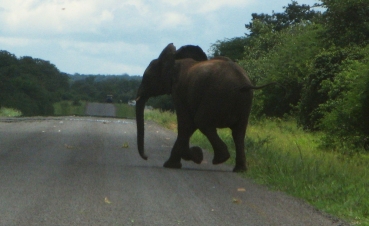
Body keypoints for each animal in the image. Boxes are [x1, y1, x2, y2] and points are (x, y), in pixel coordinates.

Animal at [135, 43, 270, 172]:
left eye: (147, 78)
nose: (146, 157)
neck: (174, 62)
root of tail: (243, 83)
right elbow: (189, 125)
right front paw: (184, 160)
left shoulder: (179, 91)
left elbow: (186, 124)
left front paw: (193, 157)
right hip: (244, 102)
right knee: (238, 133)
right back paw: (239, 169)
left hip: (216, 96)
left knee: (202, 121)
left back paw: (221, 159)